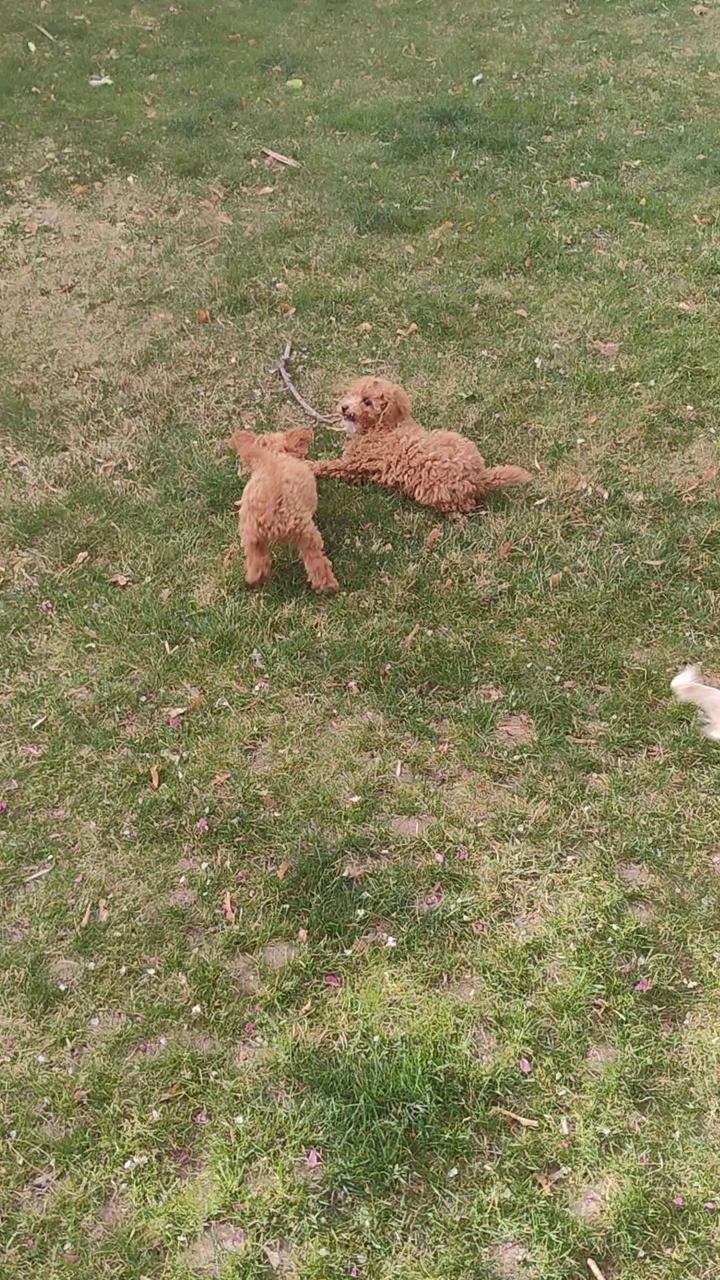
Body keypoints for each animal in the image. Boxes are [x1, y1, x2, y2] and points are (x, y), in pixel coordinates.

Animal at [228, 425, 338, 593]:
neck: (272, 455)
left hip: (251, 535)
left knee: (256, 561)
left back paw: (256, 578)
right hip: (305, 532)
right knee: (315, 561)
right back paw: (328, 585)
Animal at [310, 376, 531, 514]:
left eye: (367, 402)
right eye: (353, 394)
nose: (344, 407)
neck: (383, 426)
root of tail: (479, 477)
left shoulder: (353, 465)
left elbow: (328, 465)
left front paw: (310, 465)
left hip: (435, 491)